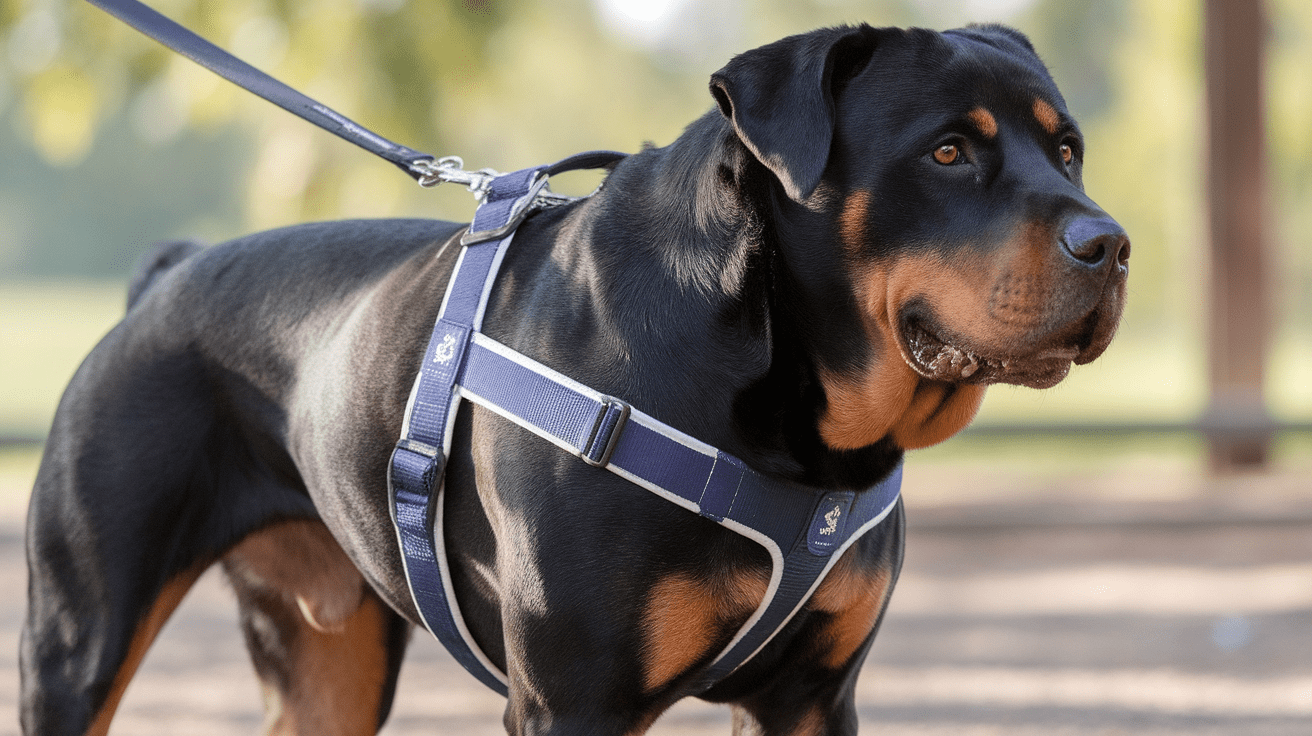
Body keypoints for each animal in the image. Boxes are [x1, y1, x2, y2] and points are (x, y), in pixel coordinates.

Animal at [20, 21, 1128, 734]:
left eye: (1069, 151)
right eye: (947, 152)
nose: (1110, 243)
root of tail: (167, 276)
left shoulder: (811, 696)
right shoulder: (573, 696)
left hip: (326, 660)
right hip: (76, 640)